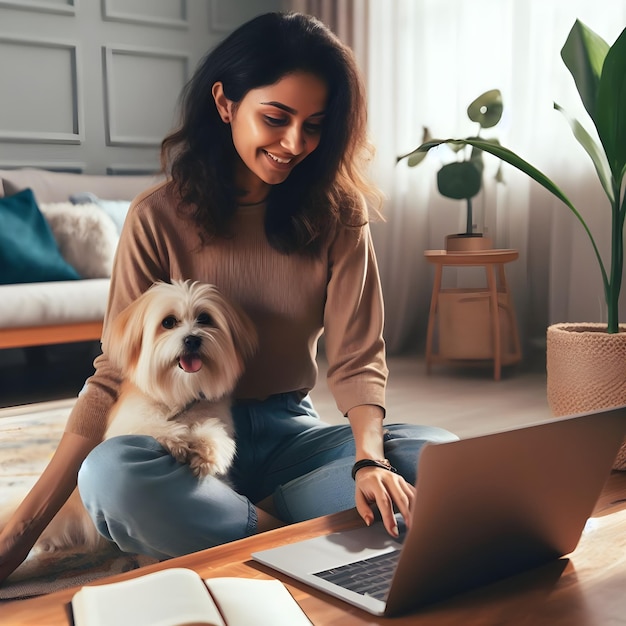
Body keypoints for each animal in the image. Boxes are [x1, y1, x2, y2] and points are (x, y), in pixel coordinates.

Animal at [31, 280, 256, 552]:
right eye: (168, 322)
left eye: (205, 318)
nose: (192, 339)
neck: (179, 393)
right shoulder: (131, 420)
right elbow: (147, 427)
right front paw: (177, 440)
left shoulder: (214, 415)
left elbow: (215, 435)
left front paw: (205, 451)